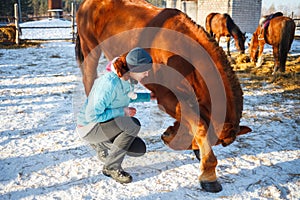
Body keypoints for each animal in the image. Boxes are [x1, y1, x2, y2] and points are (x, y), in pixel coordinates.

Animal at [75, 0, 251, 194]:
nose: (166, 137)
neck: (185, 54)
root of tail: (85, 4)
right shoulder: (168, 97)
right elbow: (199, 125)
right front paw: (209, 175)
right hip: (90, 49)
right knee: (89, 83)